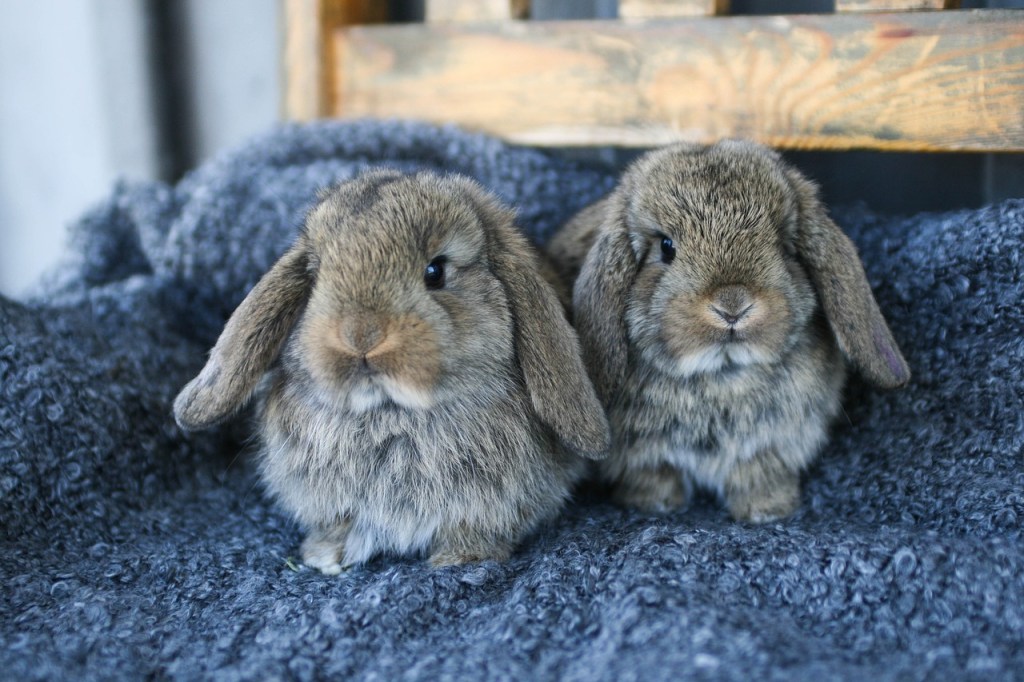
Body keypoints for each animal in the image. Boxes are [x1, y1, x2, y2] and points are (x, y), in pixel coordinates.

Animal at [173, 169, 610, 572]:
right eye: (316, 276)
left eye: (435, 271)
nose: (360, 335)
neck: (391, 412)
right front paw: (326, 557)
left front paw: (460, 559)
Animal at [546, 140, 910, 523]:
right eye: (666, 247)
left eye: (783, 246)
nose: (732, 306)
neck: (721, 371)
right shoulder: (647, 456)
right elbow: (655, 476)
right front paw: (653, 505)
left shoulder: (768, 447)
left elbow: (757, 474)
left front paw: (768, 510)